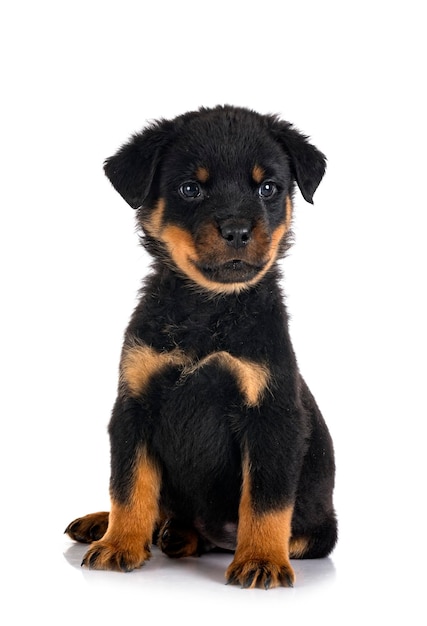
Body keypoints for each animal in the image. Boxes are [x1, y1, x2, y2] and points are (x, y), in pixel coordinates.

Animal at [65, 105, 338, 588]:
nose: (237, 230)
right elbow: (129, 486)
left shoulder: (272, 417)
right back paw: (113, 525)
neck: (208, 311)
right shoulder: (134, 406)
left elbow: (265, 501)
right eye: (190, 188)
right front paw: (120, 544)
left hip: (319, 528)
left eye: (268, 188)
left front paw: (261, 559)